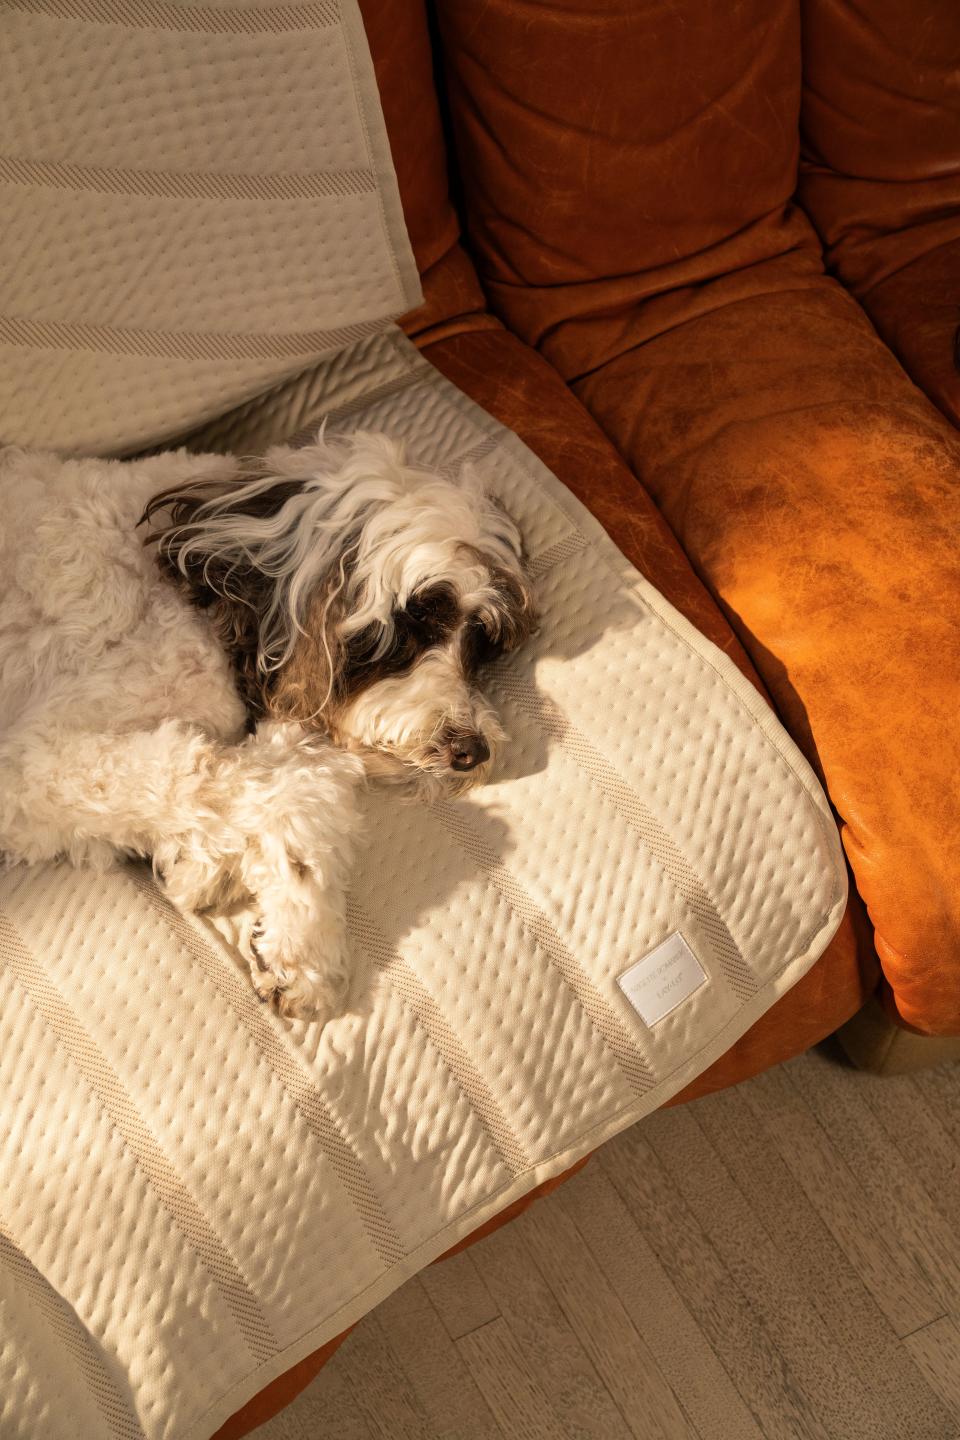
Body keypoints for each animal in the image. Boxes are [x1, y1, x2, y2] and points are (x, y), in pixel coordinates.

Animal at [0, 432, 532, 1019]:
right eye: (415, 621)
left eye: (479, 641)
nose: (473, 751)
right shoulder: (33, 764)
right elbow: (257, 783)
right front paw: (298, 936)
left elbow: (297, 784)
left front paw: (276, 929)